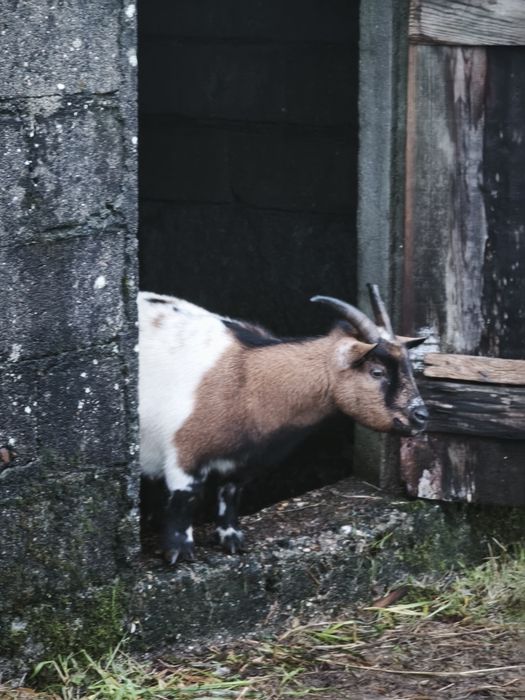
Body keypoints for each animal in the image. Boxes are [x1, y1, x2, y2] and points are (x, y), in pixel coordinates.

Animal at [138, 285, 428, 564]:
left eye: (409, 368)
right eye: (377, 372)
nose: (422, 416)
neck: (245, 378)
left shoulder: (243, 461)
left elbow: (229, 494)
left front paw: (232, 539)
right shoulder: (185, 454)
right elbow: (184, 500)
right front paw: (178, 552)